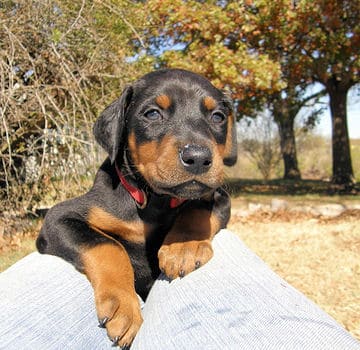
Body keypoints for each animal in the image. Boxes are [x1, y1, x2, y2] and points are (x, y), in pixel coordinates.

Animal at [37, 69, 236, 348]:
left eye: (218, 117)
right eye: (152, 114)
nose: (198, 158)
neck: (155, 201)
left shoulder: (217, 195)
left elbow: (197, 208)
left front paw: (183, 247)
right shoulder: (58, 217)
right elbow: (108, 245)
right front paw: (123, 307)